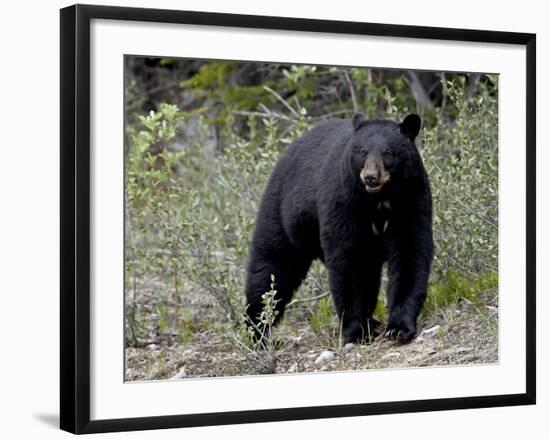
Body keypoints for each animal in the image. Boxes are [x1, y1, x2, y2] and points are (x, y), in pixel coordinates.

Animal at [247, 113, 436, 344]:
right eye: (362, 151)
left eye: (389, 152)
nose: (371, 177)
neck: (378, 201)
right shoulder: (344, 201)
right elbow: (349, 259)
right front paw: (357, 332)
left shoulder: (410, 199)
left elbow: (409, 251)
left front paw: (399, 328)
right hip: (282, 213)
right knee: (271, 267)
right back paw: (257, 332)